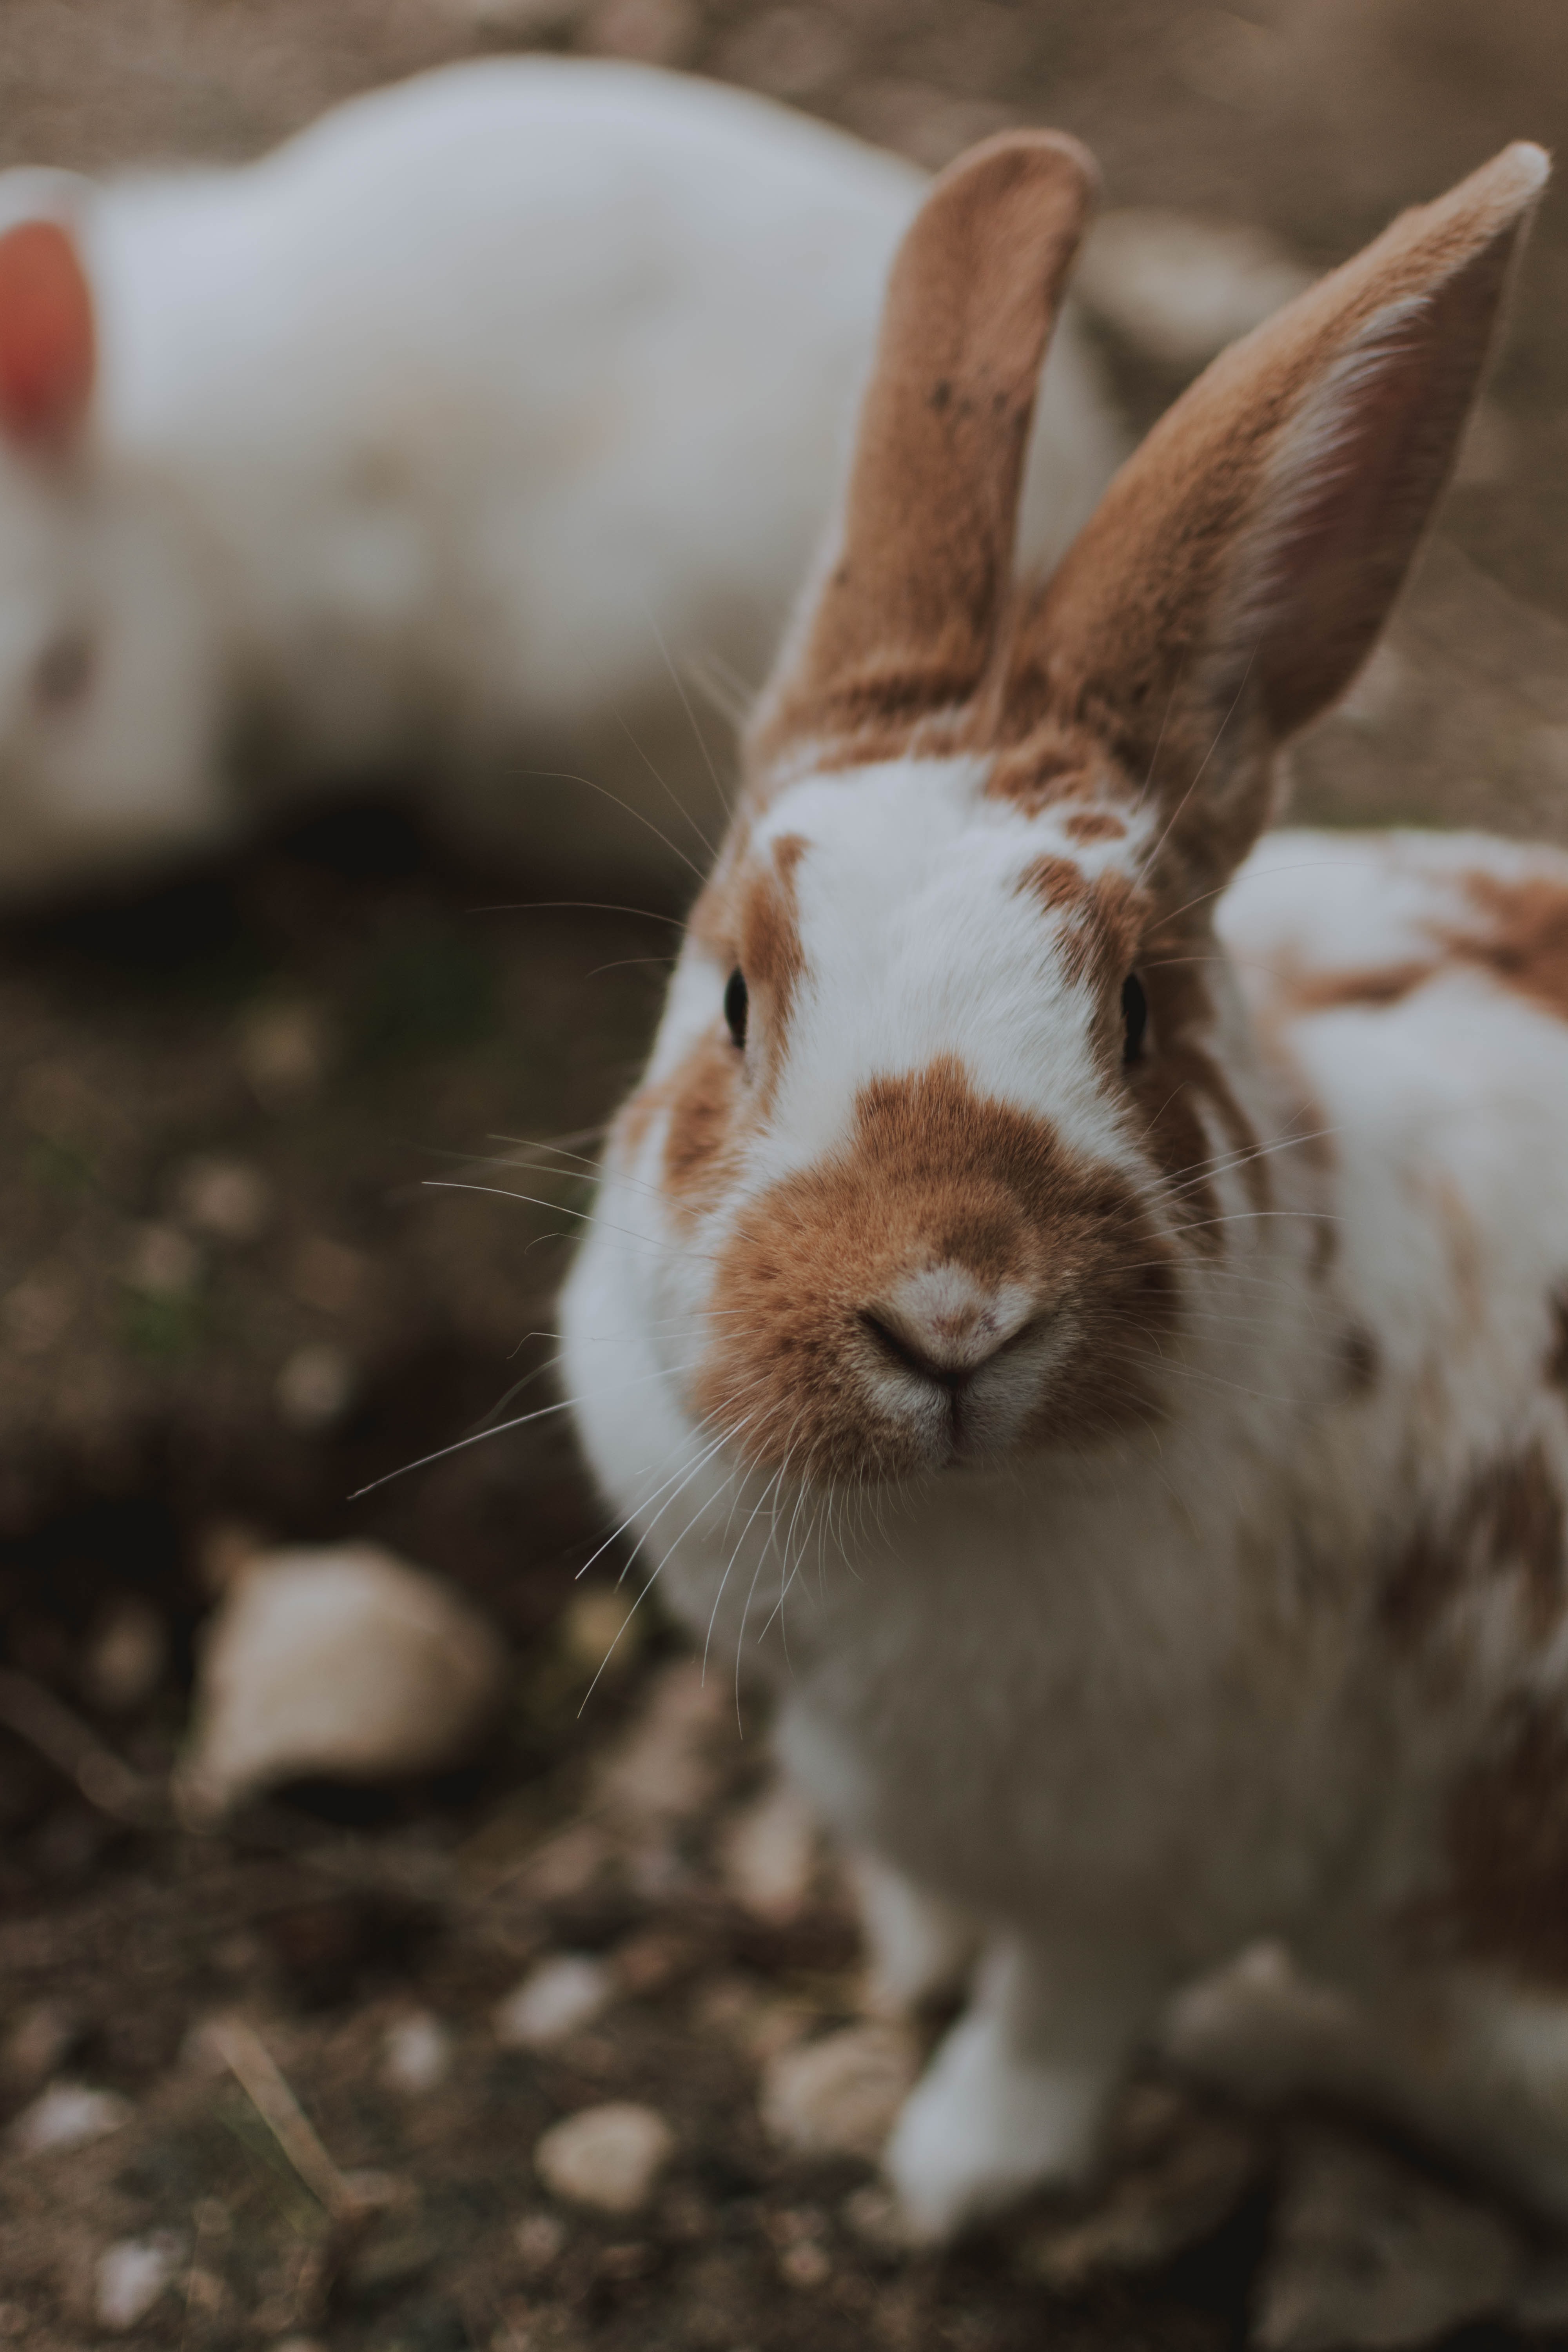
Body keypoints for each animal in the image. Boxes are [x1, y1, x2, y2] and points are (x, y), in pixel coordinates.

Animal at [566, 133, 1568, 2239]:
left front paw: (951, 2172)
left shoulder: (1156, 1862)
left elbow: (1050, 2012)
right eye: (733, 995)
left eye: (1135, 1005)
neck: (939, 1517)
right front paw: (904, 1966)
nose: (948, 1311)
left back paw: (1268, 2036)